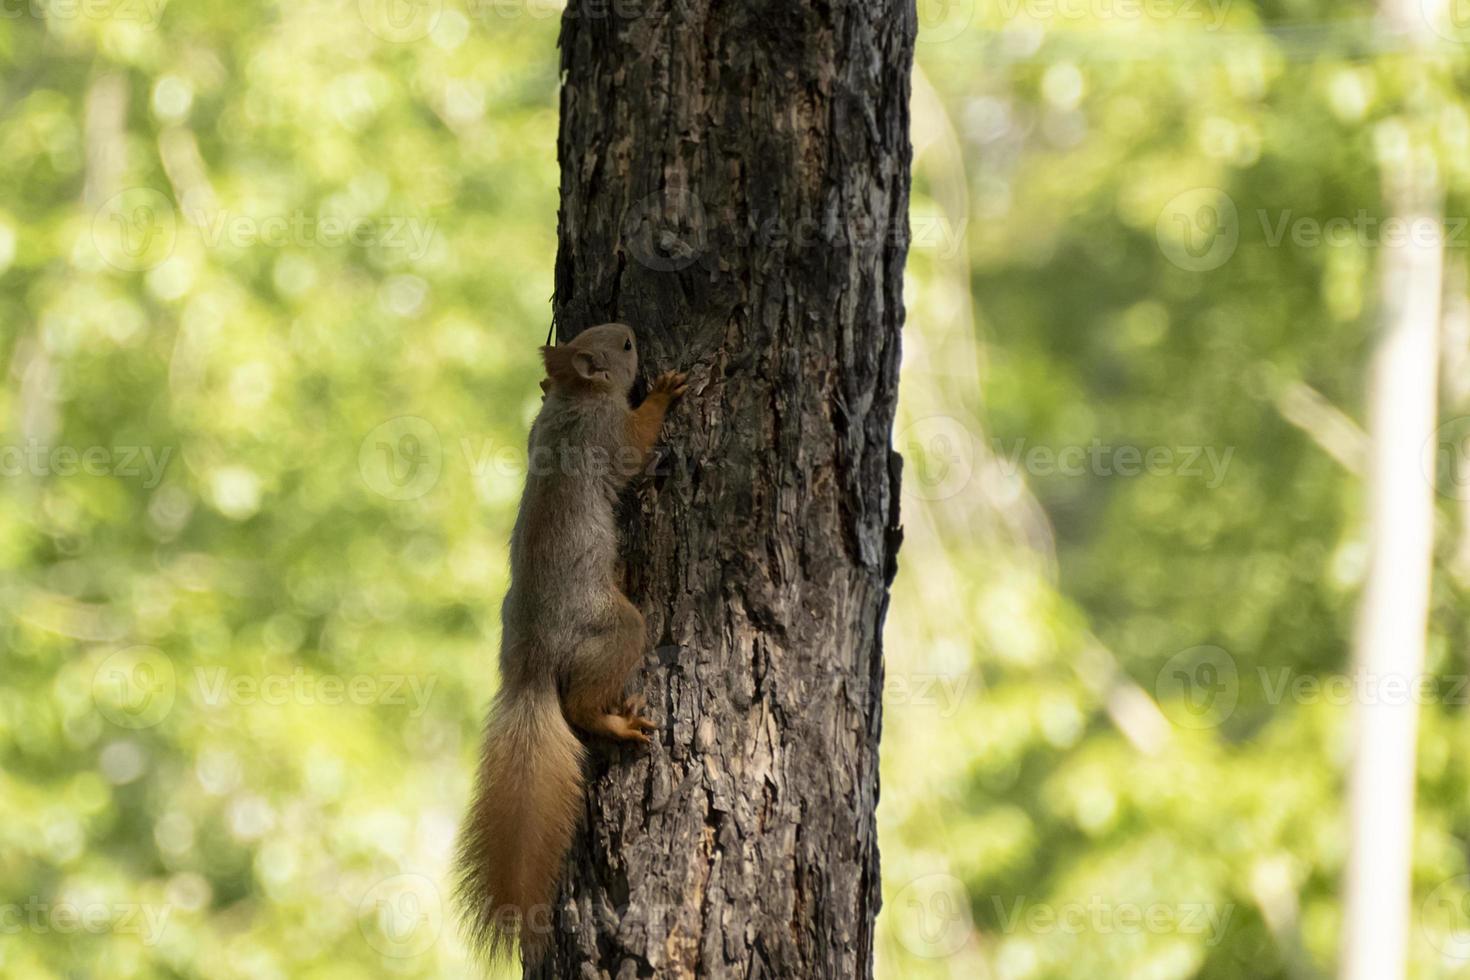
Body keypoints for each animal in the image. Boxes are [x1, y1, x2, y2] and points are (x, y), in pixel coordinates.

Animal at [452, 321, 687, 963]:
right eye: (624, 346)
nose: (632, 330)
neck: (574, 399)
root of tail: (530, 666)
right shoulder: (606, 434)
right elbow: (635, 445)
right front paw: (665, 389)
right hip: (614, 626)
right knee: (581, 705)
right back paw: (617, 724)